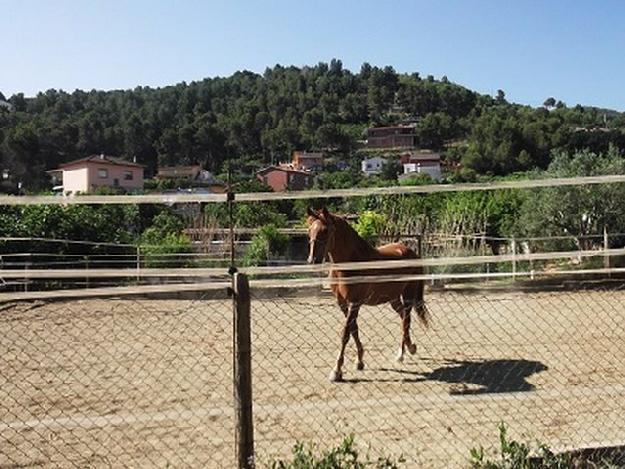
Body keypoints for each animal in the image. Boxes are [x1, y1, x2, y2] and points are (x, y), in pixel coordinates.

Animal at [304, 207, 428, 382]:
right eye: (309, 230)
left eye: (326, 231)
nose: (312, 260)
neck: (350, 264)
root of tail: (411, 252)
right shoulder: (343, 304)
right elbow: (354, 329)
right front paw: (360, 361)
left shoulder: (354, 303)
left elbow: (345, 334)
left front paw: (336, 371)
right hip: (393, 299)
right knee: (403, 317)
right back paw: (409, 348)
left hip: (408, 295)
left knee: (406, 320)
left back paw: (403, 354)